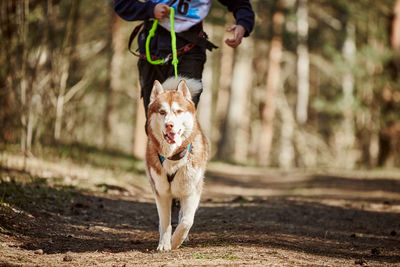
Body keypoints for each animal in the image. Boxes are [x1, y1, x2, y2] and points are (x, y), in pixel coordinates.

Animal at [145, 77, 208, 251]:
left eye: (179, 111)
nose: (169, 125)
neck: (173, 157)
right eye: (162, 112)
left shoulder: (192, 191)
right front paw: (164, 243)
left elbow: (186, 221)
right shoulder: (161, 192)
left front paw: (176, 241)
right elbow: (165, 221)